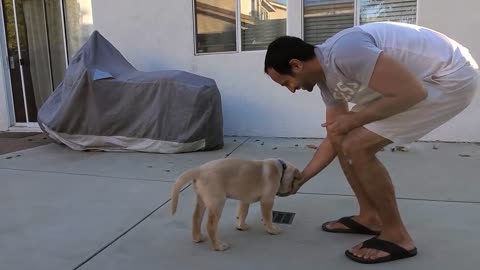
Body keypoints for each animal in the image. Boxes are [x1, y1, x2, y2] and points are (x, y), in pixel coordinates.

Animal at [172, 158, 300, 251]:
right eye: (292, 183)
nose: (293, 191)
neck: (281, 168)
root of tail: (199, 170)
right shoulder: (267, 201)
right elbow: (268, 217)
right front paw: (272, 229)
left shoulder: (244, 200)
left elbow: (243, 213)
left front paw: (241, 226)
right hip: (217, 203)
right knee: (210, 225)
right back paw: (218, 246)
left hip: (202, 200)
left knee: (196, 218)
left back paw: (197, 238)